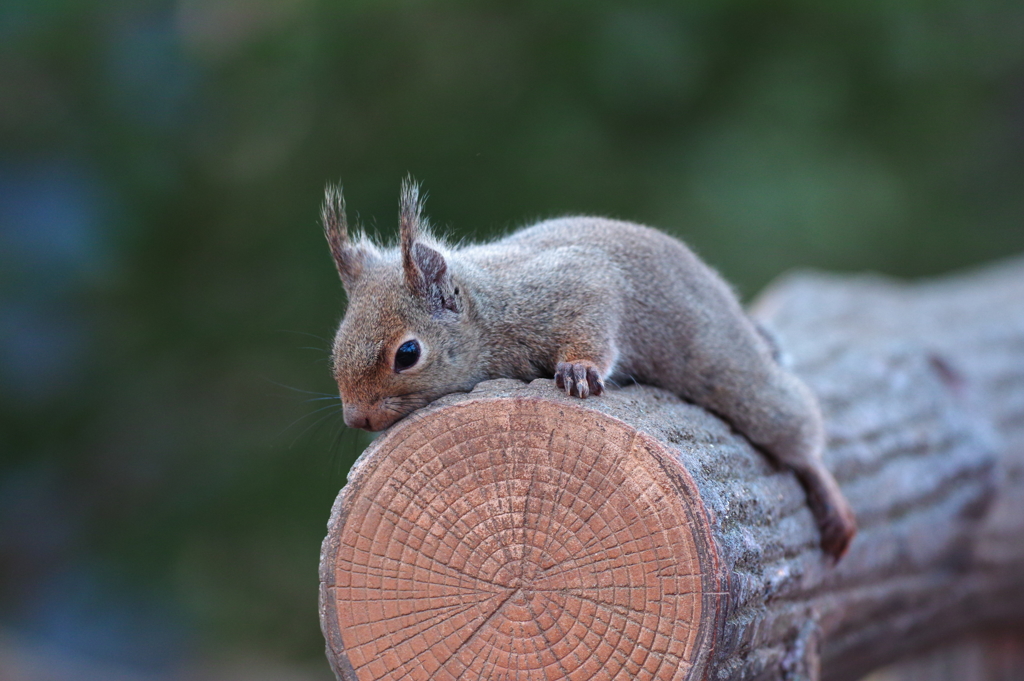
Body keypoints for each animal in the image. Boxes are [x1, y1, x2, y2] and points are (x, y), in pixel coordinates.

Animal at [319, 176, 856, 557]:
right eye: (336, 346)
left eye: (407, 354)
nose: (356, 418)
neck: (491, 309)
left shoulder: (577, 283)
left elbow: (592, 324)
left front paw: (578, 369)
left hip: (736, 374)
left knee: (794, 427)